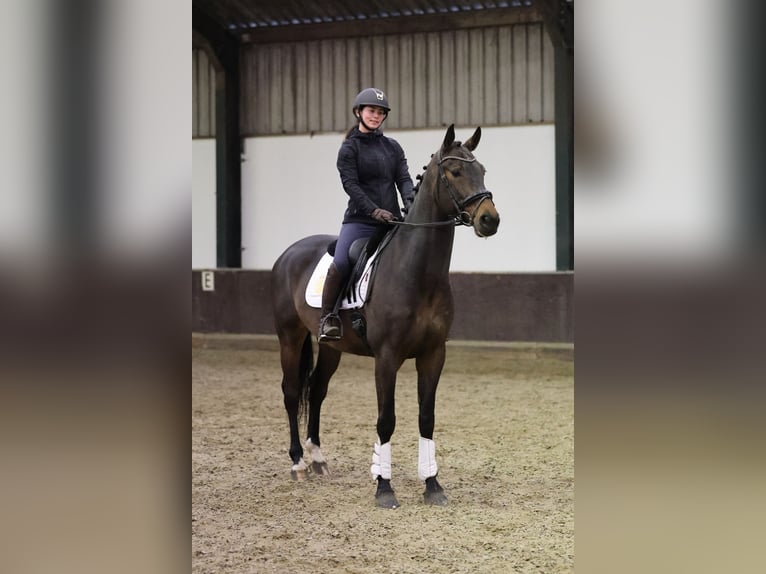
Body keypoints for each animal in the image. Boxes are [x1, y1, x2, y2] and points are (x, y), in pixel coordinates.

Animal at [271, 124, 500, 509]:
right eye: (455, 172)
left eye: (481, 170)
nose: (490, 219)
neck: (417, 272)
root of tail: (289, 253)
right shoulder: (387, 357)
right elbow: (386, 420)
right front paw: (384, 487)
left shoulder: (433, 354)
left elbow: (426, 418)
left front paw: (432, 485)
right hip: (289, 336)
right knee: (291, 392)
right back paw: (298, 463)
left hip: (330, 345)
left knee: (316, 390)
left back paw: (317, 459)